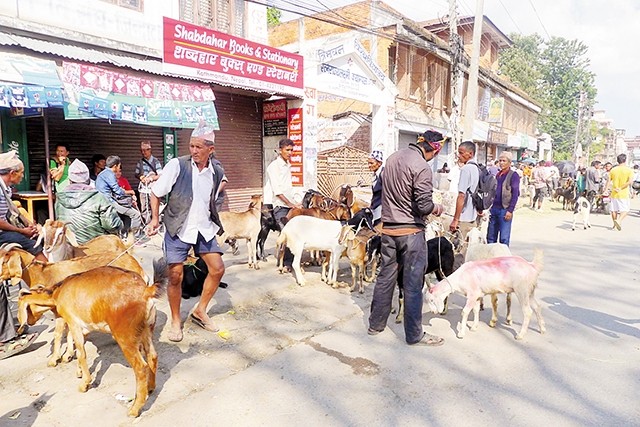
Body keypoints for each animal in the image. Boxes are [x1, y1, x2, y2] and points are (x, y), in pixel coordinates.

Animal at [17, 260, 169, 418]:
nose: (23, 325)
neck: (58, 292)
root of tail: (145, 291)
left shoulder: (73, 322)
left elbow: (81, 353)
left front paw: (85, 383)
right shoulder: (84, 327)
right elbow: (77, 347)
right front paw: (79, 371)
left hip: (125, 337)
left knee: (140, 367)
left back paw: (134, 409)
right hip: (147, 329)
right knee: (152, 356)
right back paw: (150, 388)